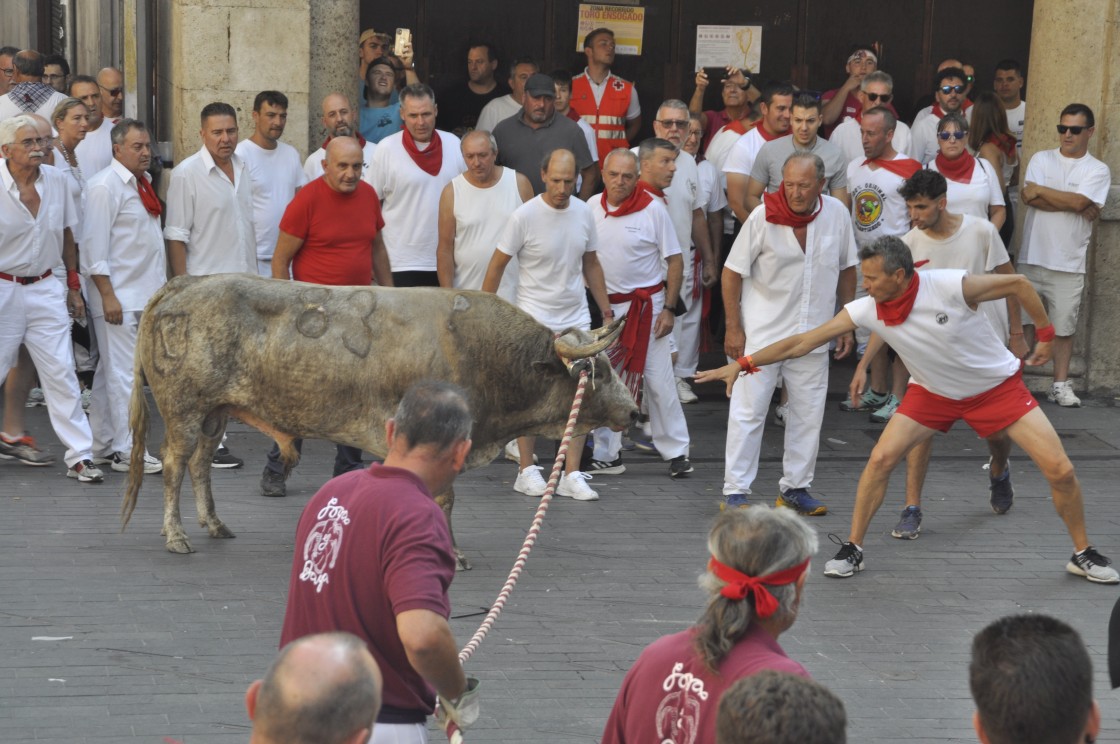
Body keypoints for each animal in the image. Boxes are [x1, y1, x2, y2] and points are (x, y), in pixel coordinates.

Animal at [122, 274, 640, 564]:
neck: (480, 350)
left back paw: (213, 523)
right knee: (175, 465)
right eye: (598, 370)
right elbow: (443, 498)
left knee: (200, 465)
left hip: (215, 413)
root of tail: (185, 283)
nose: (634, 411)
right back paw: (176, 535)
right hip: (185, 410)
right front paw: (452, 553)